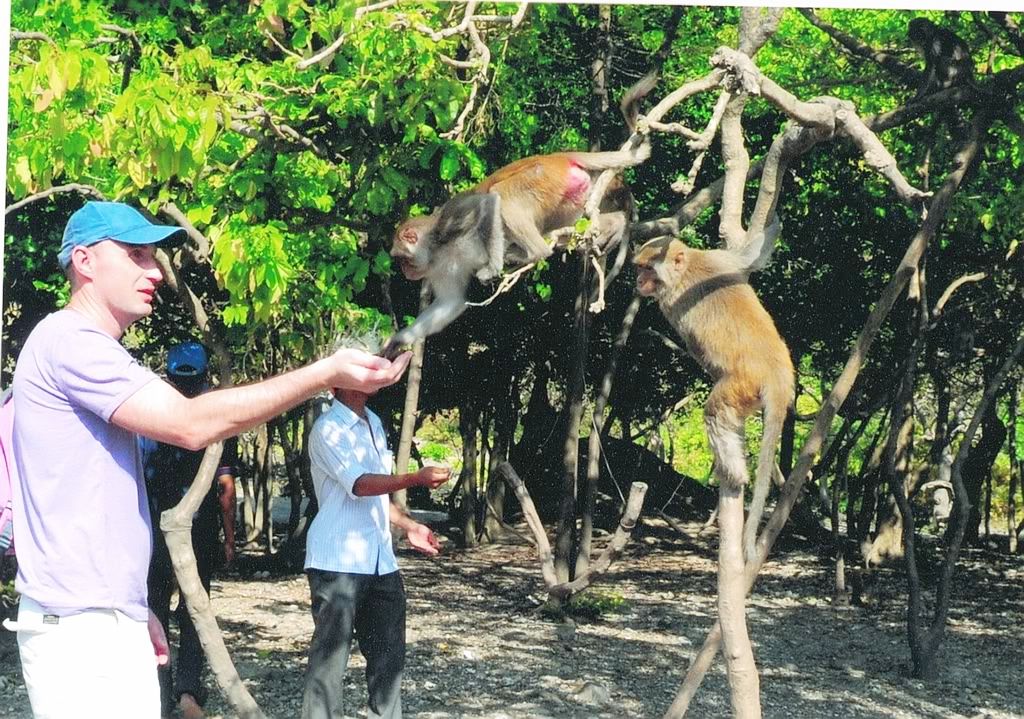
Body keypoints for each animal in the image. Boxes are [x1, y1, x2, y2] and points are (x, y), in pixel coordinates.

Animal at [634, 228, 794, 561]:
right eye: (638, 268)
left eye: (647, 269)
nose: (638, 281)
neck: (687, 267)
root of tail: (777, 375)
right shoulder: (719, 258)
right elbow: (751, 256)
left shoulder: (670, 303)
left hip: (742, 385)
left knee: (716, 412)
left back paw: (734, 471)